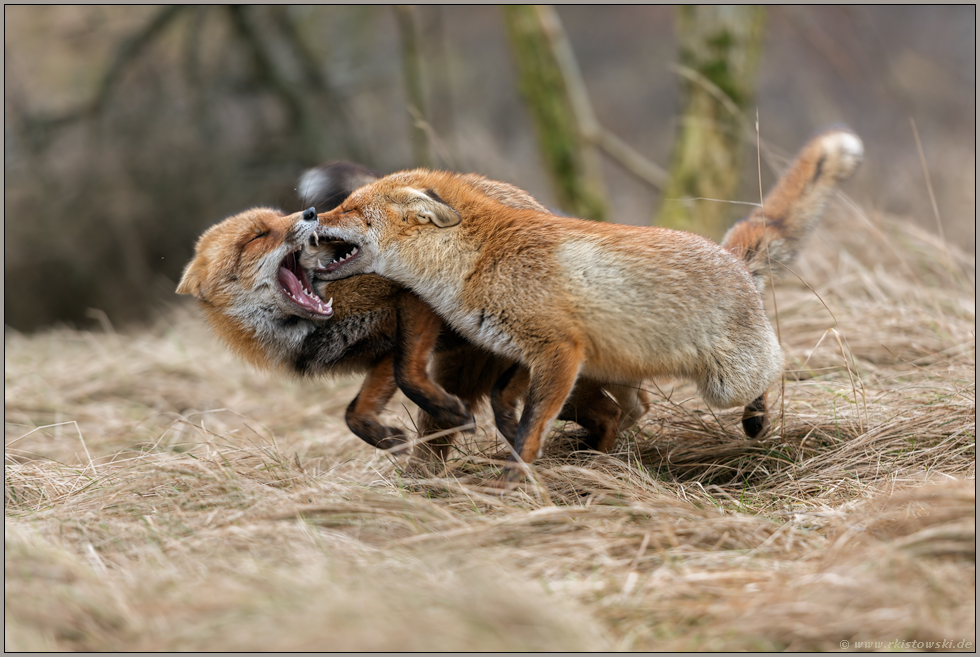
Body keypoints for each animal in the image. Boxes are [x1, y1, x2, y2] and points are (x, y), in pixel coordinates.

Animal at [177, 163, 648, 458]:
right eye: (256, 236)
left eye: (278, 219)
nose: (309, 213)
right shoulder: (378, 353)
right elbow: (355, 413)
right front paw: (386, 439)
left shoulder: (410, 301)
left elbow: (408, 374)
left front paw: (438, 417)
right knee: (619, 409)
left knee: (613, 410)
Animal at [312, 128, 864, 468]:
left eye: (352, 209)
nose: (310, 216)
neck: (479, 260)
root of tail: (728, 256)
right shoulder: (529, 350)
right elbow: (507, 399)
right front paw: (513, 434)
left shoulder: (558, 349)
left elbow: (530, 424)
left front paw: (519, 476)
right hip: (617, 368)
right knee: (636, 406)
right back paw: (602, 452)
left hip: (725, 383)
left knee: (775, 367)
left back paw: (757, 418)